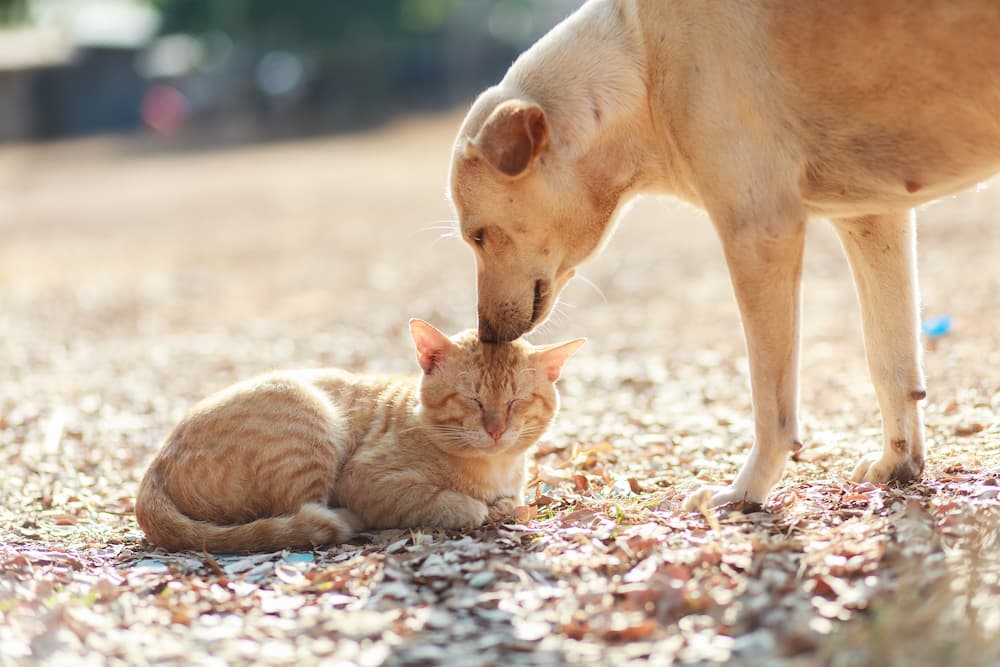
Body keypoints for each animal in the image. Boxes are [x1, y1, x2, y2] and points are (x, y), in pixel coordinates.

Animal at [136, 320, 584, 552]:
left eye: (516, 401)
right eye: (472, 399)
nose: (495, 430)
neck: (495, 468)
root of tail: (154, 468)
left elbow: (512, 503)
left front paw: (501, 504)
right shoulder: (366, 481)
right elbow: (447, 502)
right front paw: (472, 507)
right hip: (306, 416)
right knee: (299, 515)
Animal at [450, 0, 1000, 508]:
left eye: (476, 236)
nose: (485, 334)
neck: (641, 63)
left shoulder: (759, 232)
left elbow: (770, 404)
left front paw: (744, 493)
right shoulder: (873, 217)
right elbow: (890, 362)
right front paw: (899, 464)